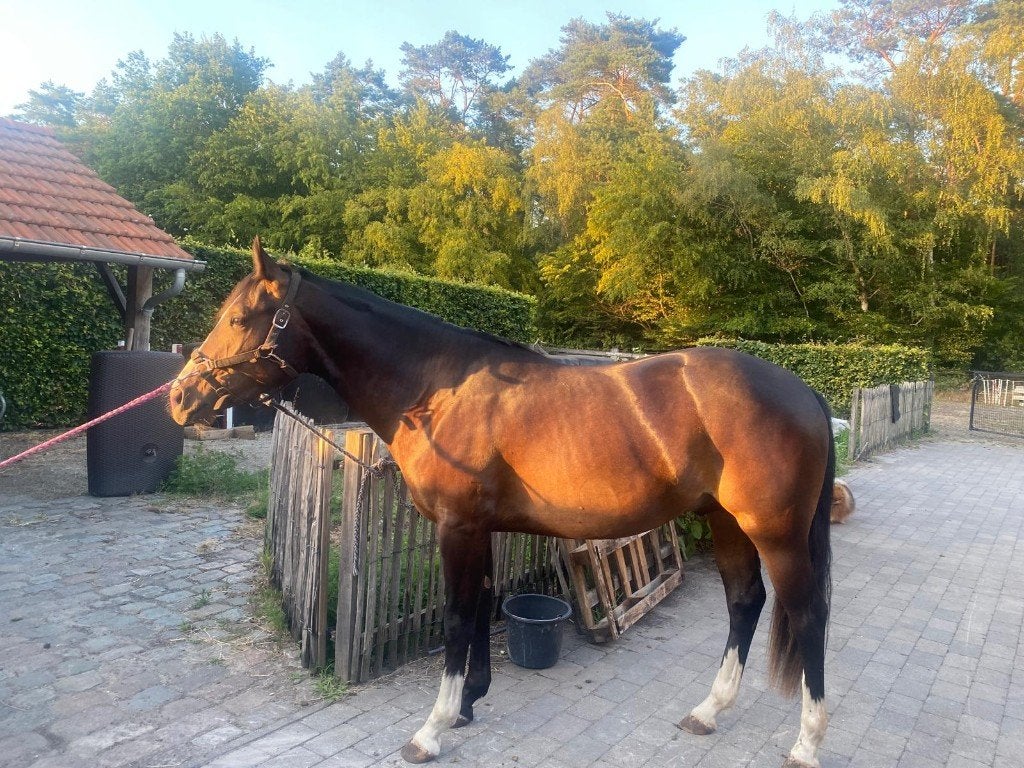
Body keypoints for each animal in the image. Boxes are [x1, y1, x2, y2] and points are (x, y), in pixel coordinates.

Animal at [170, 239, 834, 768]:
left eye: (239, 318)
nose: (179, 398)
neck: (437, 390)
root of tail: (805, 391)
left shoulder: (457, 527)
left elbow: (458, 616)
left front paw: (432, 728)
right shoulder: (479, 528)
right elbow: (484, 604)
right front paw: (468, 703)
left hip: (775, 533)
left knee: (807, 615)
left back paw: (806, 742)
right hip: (727, 523)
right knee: (744, 602)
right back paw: (708, 710)